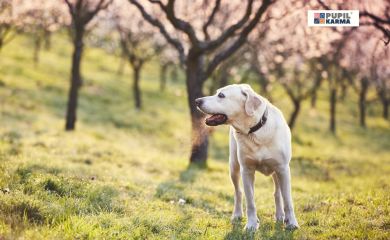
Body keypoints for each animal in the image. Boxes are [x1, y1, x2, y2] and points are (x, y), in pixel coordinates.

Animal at [195, 84, 298, 231]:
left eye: (221, 95)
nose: (197, 101)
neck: (255, 131)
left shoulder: (283, 169)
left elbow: (288, 200)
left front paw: (292, 223)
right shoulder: (247, 170)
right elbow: (250, 201)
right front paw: (251, 225)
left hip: (276, 172)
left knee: (278, 193)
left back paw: (280, 216)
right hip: (234, 167)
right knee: (239, 192)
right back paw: (238, 215)